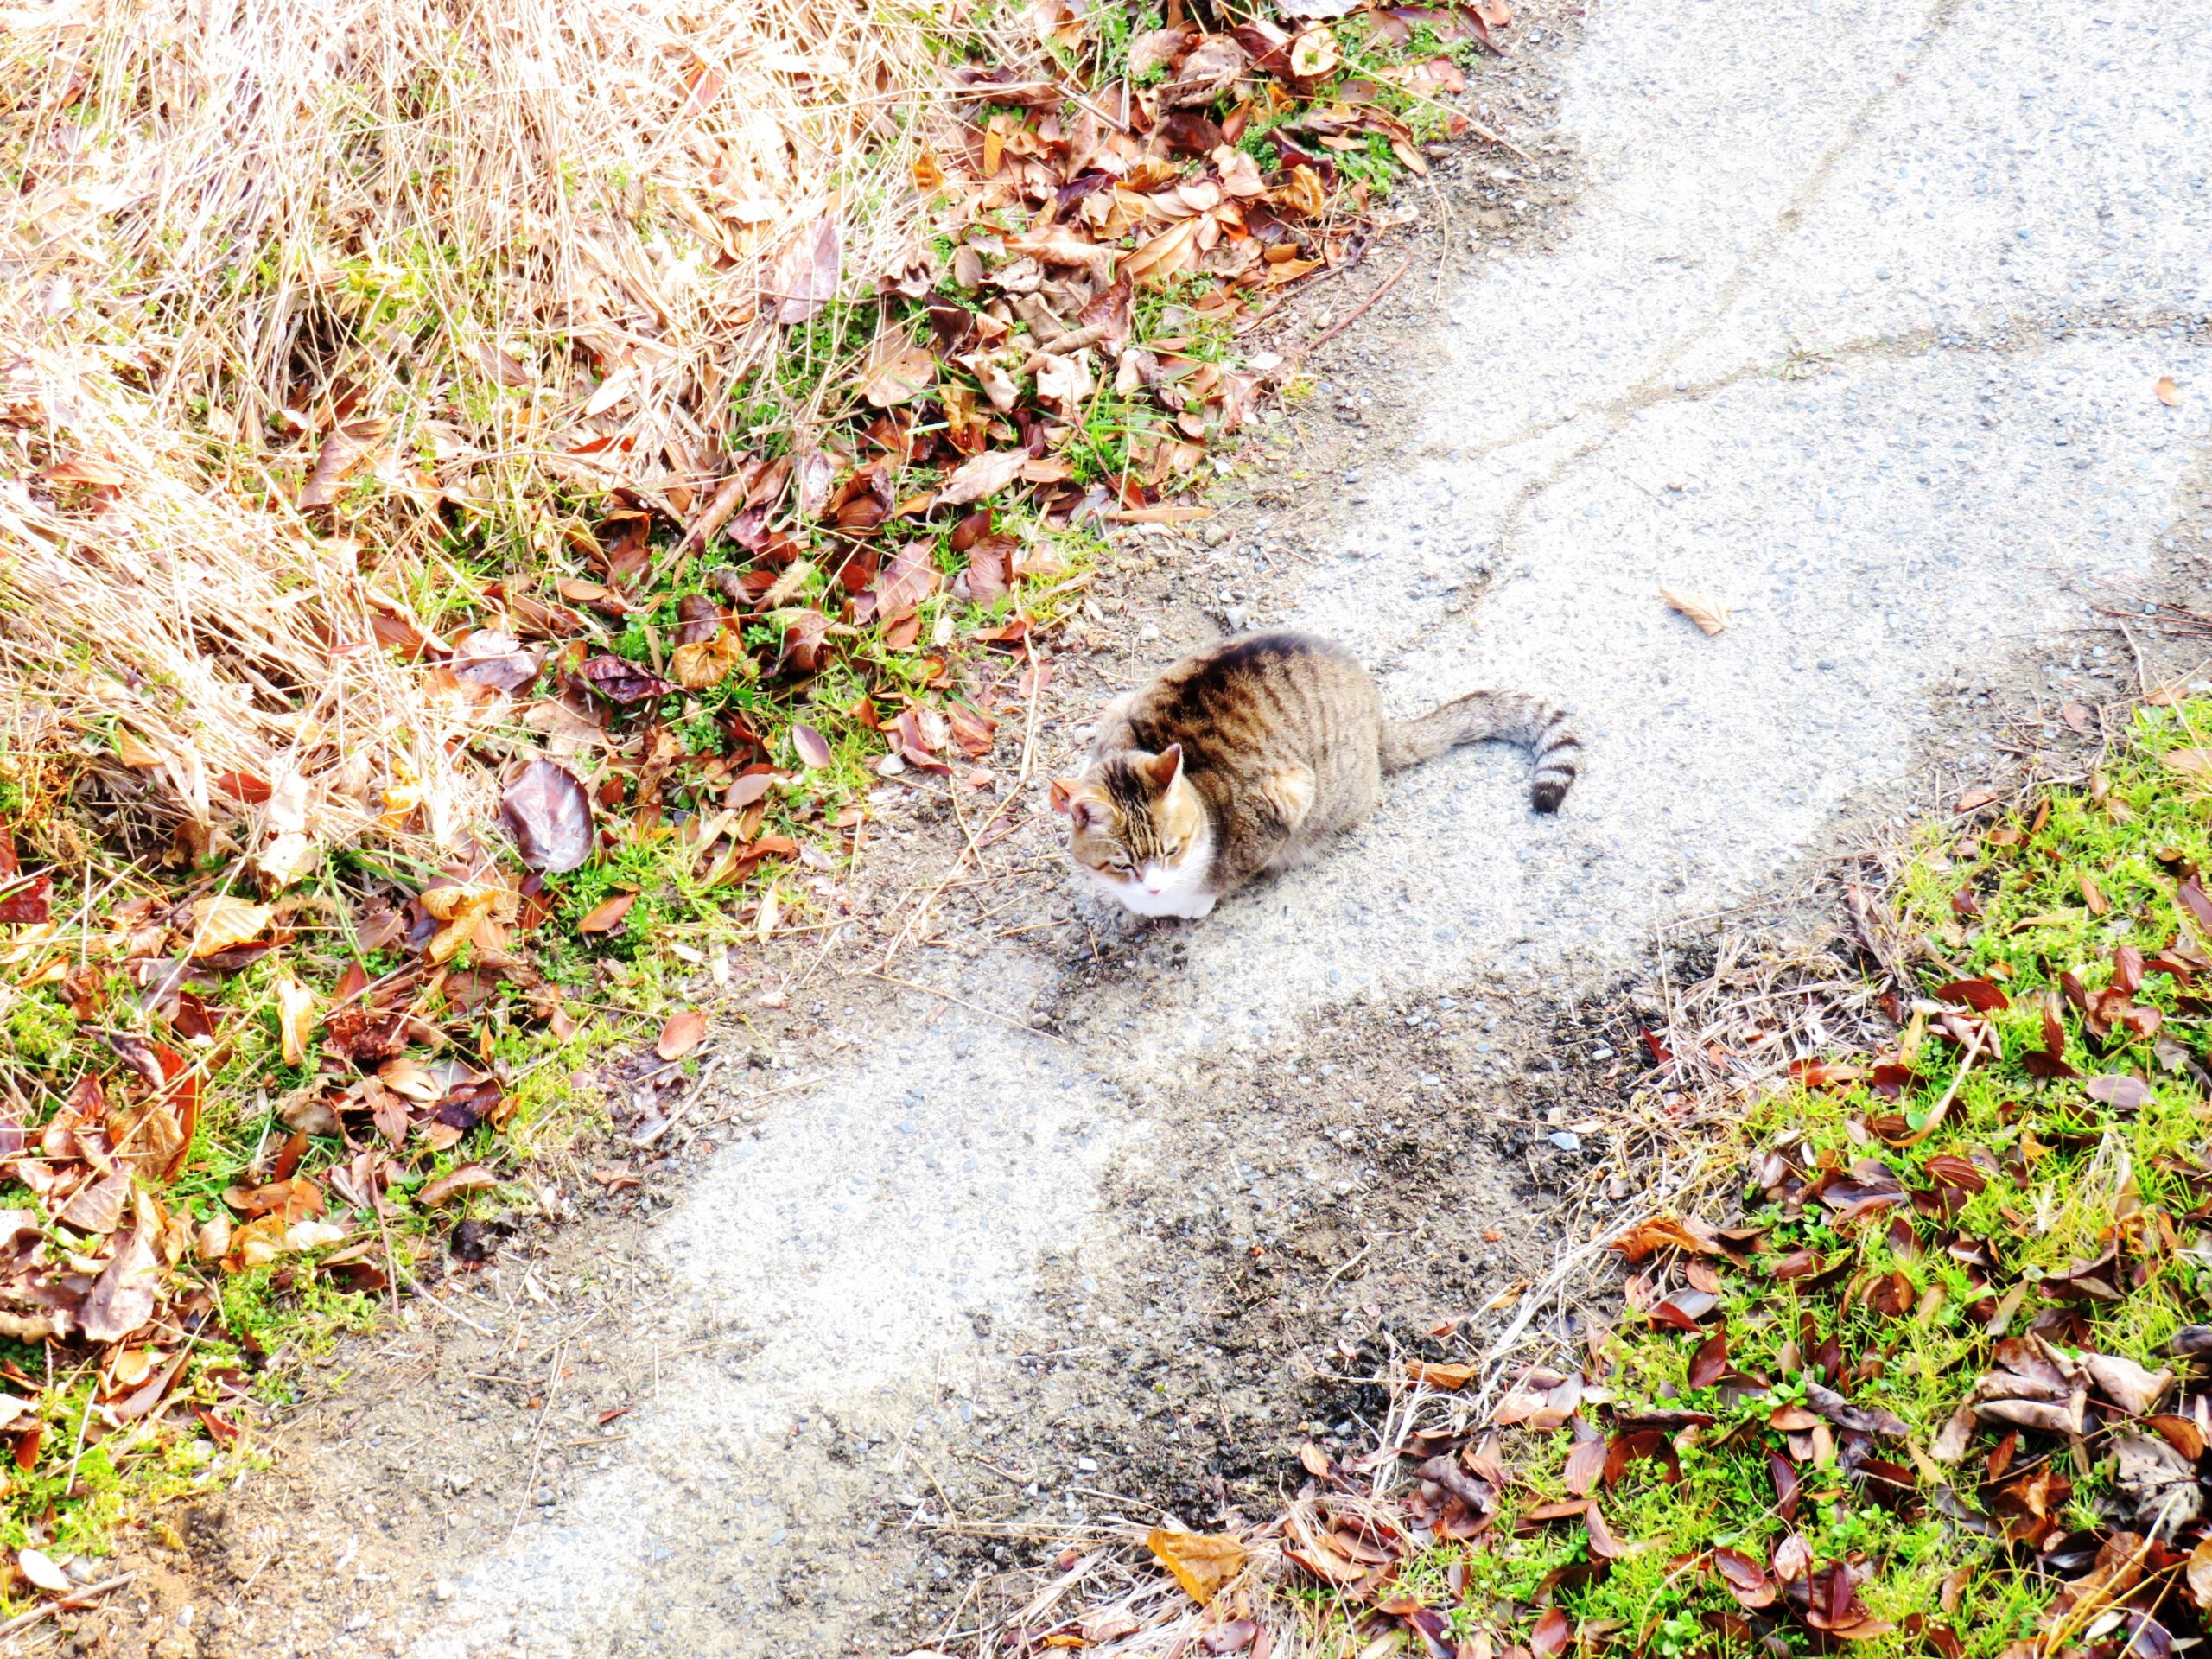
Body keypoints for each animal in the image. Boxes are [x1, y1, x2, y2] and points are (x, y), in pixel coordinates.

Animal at [1048, 632, 1583, 925]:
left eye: (1172, 851)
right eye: (1122, 865)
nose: (1155, 889)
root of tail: (1377, 717)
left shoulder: (1282, 797)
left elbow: (1227, 877)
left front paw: (1194, 902)